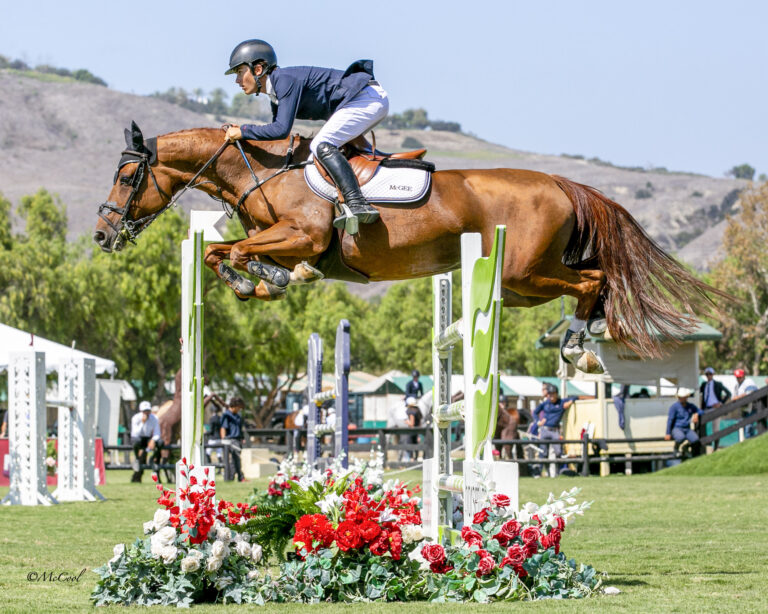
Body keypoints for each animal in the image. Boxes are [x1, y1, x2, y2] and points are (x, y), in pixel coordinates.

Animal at [93, 122, 724, 370]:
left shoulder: (303, 234)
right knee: (594, 277)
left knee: (595, 281)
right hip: (522, 285)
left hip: (521, 273)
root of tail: (560, 182)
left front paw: (259, 282)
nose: (101, 234)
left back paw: (577, 348)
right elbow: (228, 253)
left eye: (126, 178)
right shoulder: (285, 240)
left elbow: (228, 253)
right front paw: (271, 282)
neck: (264, 170)